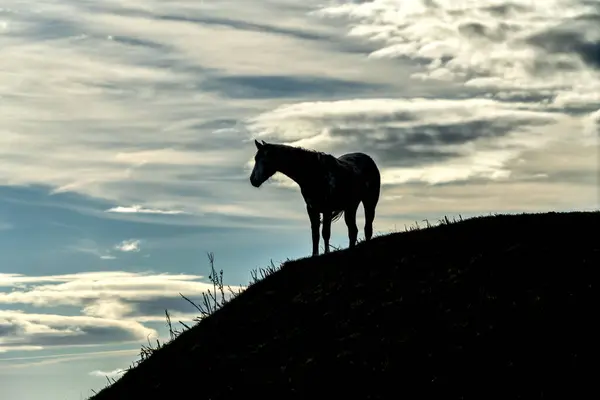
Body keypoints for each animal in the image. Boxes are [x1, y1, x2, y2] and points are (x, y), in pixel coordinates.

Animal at [250, 139, 382, 258]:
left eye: (265, 161)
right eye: (255, 159)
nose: (253, 180)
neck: (314, 172)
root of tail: (369, 159)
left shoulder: (327, 209)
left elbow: (325, 233)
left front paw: (327, 253)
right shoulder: (312, 209)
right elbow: (315, 234)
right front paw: (315, 255)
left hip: (369, 202)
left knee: (367, 227)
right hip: (351, 206)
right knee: (353, 230)